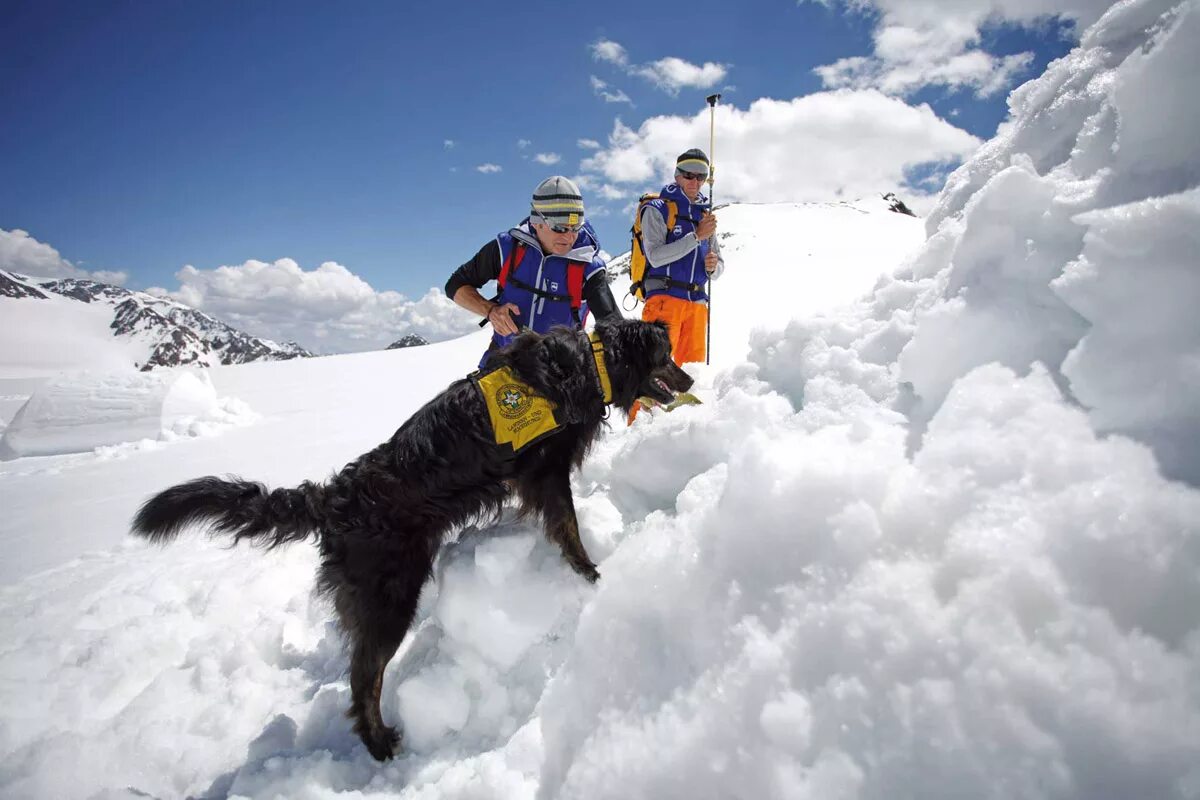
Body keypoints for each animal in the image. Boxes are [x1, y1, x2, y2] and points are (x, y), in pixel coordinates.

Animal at [129, 316, 696, 762]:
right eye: (666, 356)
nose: (690, 375)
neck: (591, 364)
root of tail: (336, 499)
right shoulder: (547, 471)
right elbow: (568, 528)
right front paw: (590, 571)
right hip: (390, 595)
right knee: (364, 680)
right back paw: (379, 743)